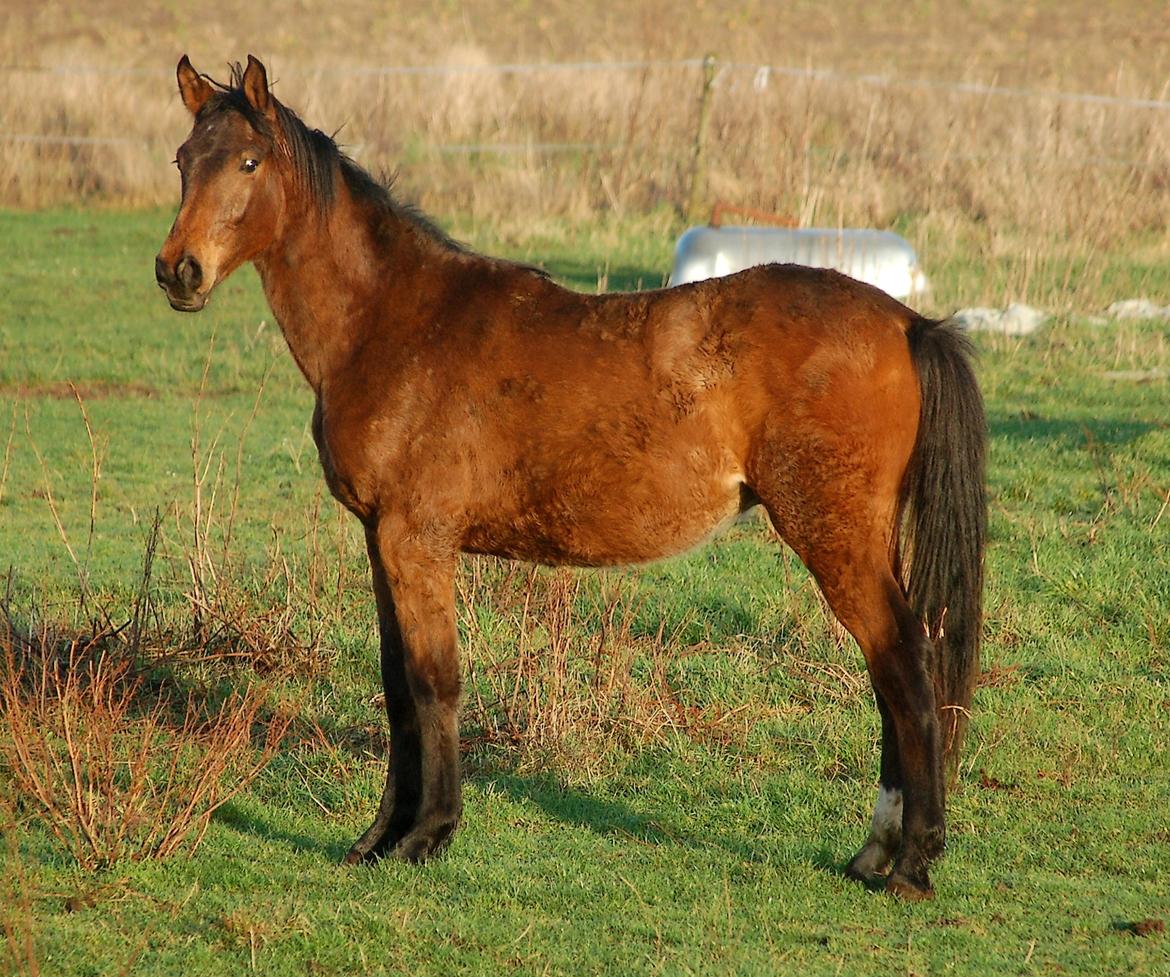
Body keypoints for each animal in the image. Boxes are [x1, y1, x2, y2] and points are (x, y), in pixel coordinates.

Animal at [150, 53, 982, 903]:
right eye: (184, 161)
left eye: (249, 163)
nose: (178, 271)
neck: (395, 323)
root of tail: (906, 322)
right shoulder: (382, 541)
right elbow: (396, 687)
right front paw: (377, 838)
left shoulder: (418, 540)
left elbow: (433, 682)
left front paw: (426, 835)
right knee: (891, 673)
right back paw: (875, 852)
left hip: (832, 533)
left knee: (904, 667)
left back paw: (911, 862)